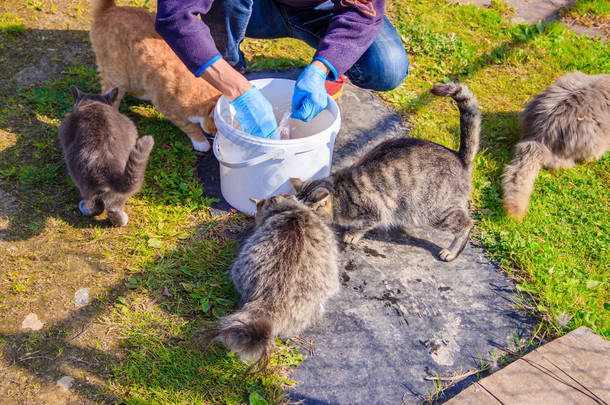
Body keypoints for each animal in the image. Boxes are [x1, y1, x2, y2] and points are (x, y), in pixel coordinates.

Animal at [58, 85, 154, 226]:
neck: (94, 103)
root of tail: (106, 163)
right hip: (119, 183)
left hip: (82, 180)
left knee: (98, 206)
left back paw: (85, 207)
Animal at [89, 0, 222, 152]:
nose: (215, 138)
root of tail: (110, 9)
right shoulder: (170, 109)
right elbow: (190, 126)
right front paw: (201, 142)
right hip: (116, 77)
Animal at [290, 81, 480, 262]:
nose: (297, 222)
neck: (340, 194)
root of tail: (459, 156)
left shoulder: (378, 210)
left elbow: (363, 225)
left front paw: (352, 234)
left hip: (435, 211)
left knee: (467, 224)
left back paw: (452, 251)